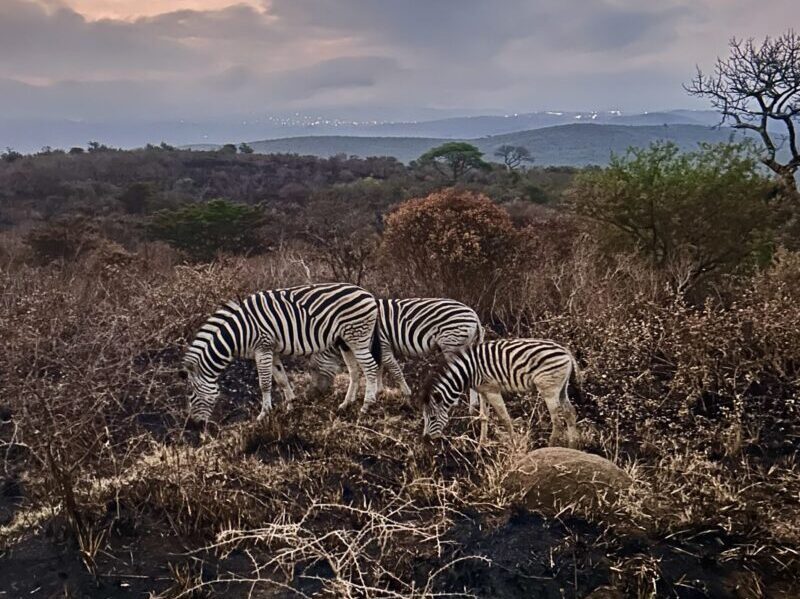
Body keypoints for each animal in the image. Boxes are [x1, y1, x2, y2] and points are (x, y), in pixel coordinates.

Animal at [180, 283, 381, 423]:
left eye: (191, 394)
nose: (194, 424)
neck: (238, 332)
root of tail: (369, 295)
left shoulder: (262, 348)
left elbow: (264, 384)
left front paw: (263, 414)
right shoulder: (272, 351)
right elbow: (281, 379)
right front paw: (291, 405)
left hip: (358, 337)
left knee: (370, 368)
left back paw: (366, 406)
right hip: (345, 342)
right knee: (355, 371)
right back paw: (346, 404)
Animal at [307, 298, 484, 406]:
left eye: (313, 369)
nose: (314, 395)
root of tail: (474, 314)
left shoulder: (383, 345)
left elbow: (394, 370)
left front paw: (407, 393)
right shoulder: (378, 349)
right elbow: (379, 368)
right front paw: (378, 391)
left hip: (451, 344)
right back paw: (473, 405)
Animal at [419, 339, 581, 447]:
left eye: (432, 418)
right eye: (425, 418)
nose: (425, 440)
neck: (467, 371)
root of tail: (566, 351)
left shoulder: (492, 390)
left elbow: (505, 418)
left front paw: (514, 445)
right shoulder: (483, 390)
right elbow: (484, 416)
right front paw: (481, 446)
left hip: (548, 388)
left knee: (557, 420)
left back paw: (550, 447)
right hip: (561, 387)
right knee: (570, 413)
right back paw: (572, 446)